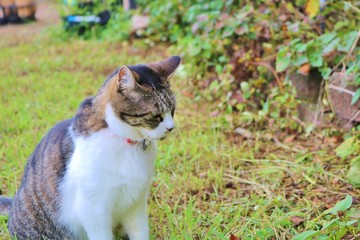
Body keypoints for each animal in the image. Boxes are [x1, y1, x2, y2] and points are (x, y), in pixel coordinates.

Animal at [0, 55, 181, 239]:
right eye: (156, 116)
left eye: (172, 111)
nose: (171, 128)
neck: (127, 143)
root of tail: (14, 203)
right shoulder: (93, 207)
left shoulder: (136, 203)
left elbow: (140, 231)